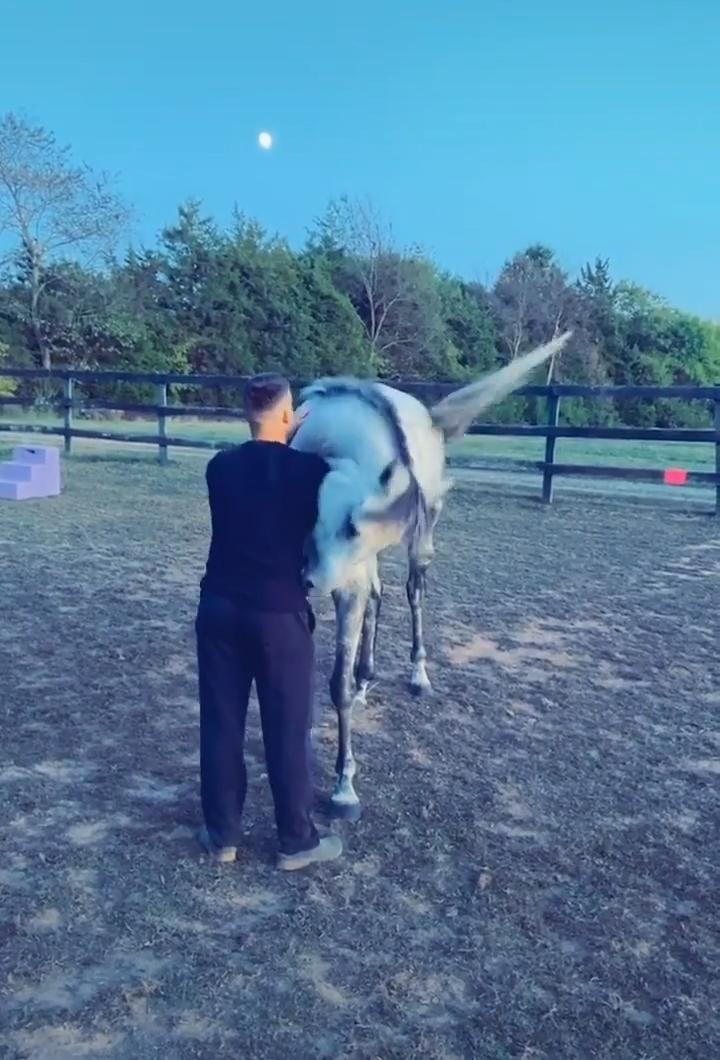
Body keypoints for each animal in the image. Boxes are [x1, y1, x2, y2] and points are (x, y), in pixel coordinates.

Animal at [290, 333, 571, 819]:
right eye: (305, 513)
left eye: (350, 526)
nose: (311, 580)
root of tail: (429, 416)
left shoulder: (349, 578)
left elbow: (336, 683)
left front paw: (343, 787)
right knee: (379, 597)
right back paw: (367, 680)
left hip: (419, 542)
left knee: (411, 593)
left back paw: (416, 674)